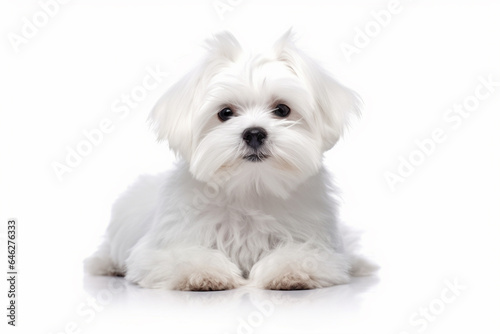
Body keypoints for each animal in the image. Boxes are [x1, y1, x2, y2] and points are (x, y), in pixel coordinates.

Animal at [87, 30, 376, 290]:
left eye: (282, 109)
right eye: (225, 113)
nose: (254, 133)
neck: (249, 187)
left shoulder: (320, 245)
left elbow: (303, 254)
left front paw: (289, 271)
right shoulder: (160, 249)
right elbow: (183, 256)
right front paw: (203, 273)